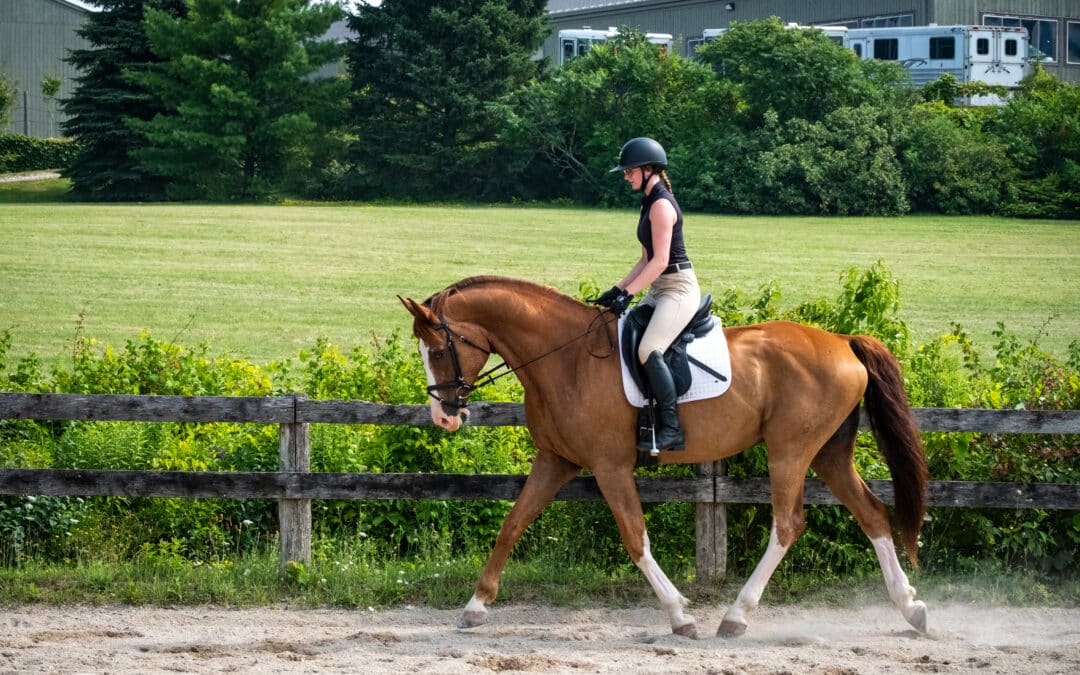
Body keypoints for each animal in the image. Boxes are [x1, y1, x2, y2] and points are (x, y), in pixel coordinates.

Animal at [400, 275, 929, 638]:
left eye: (438, 351)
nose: (444, 417)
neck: (564, 358)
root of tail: (843, 341)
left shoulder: (610, 467)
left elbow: (635, 539)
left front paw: (679, 615)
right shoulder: (554, 460)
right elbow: (512, 525)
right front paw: (475, 606)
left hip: (790, 451)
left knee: (788, 524)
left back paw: (735, 617)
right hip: (829, 454)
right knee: (872, 513)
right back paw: (910, 607)